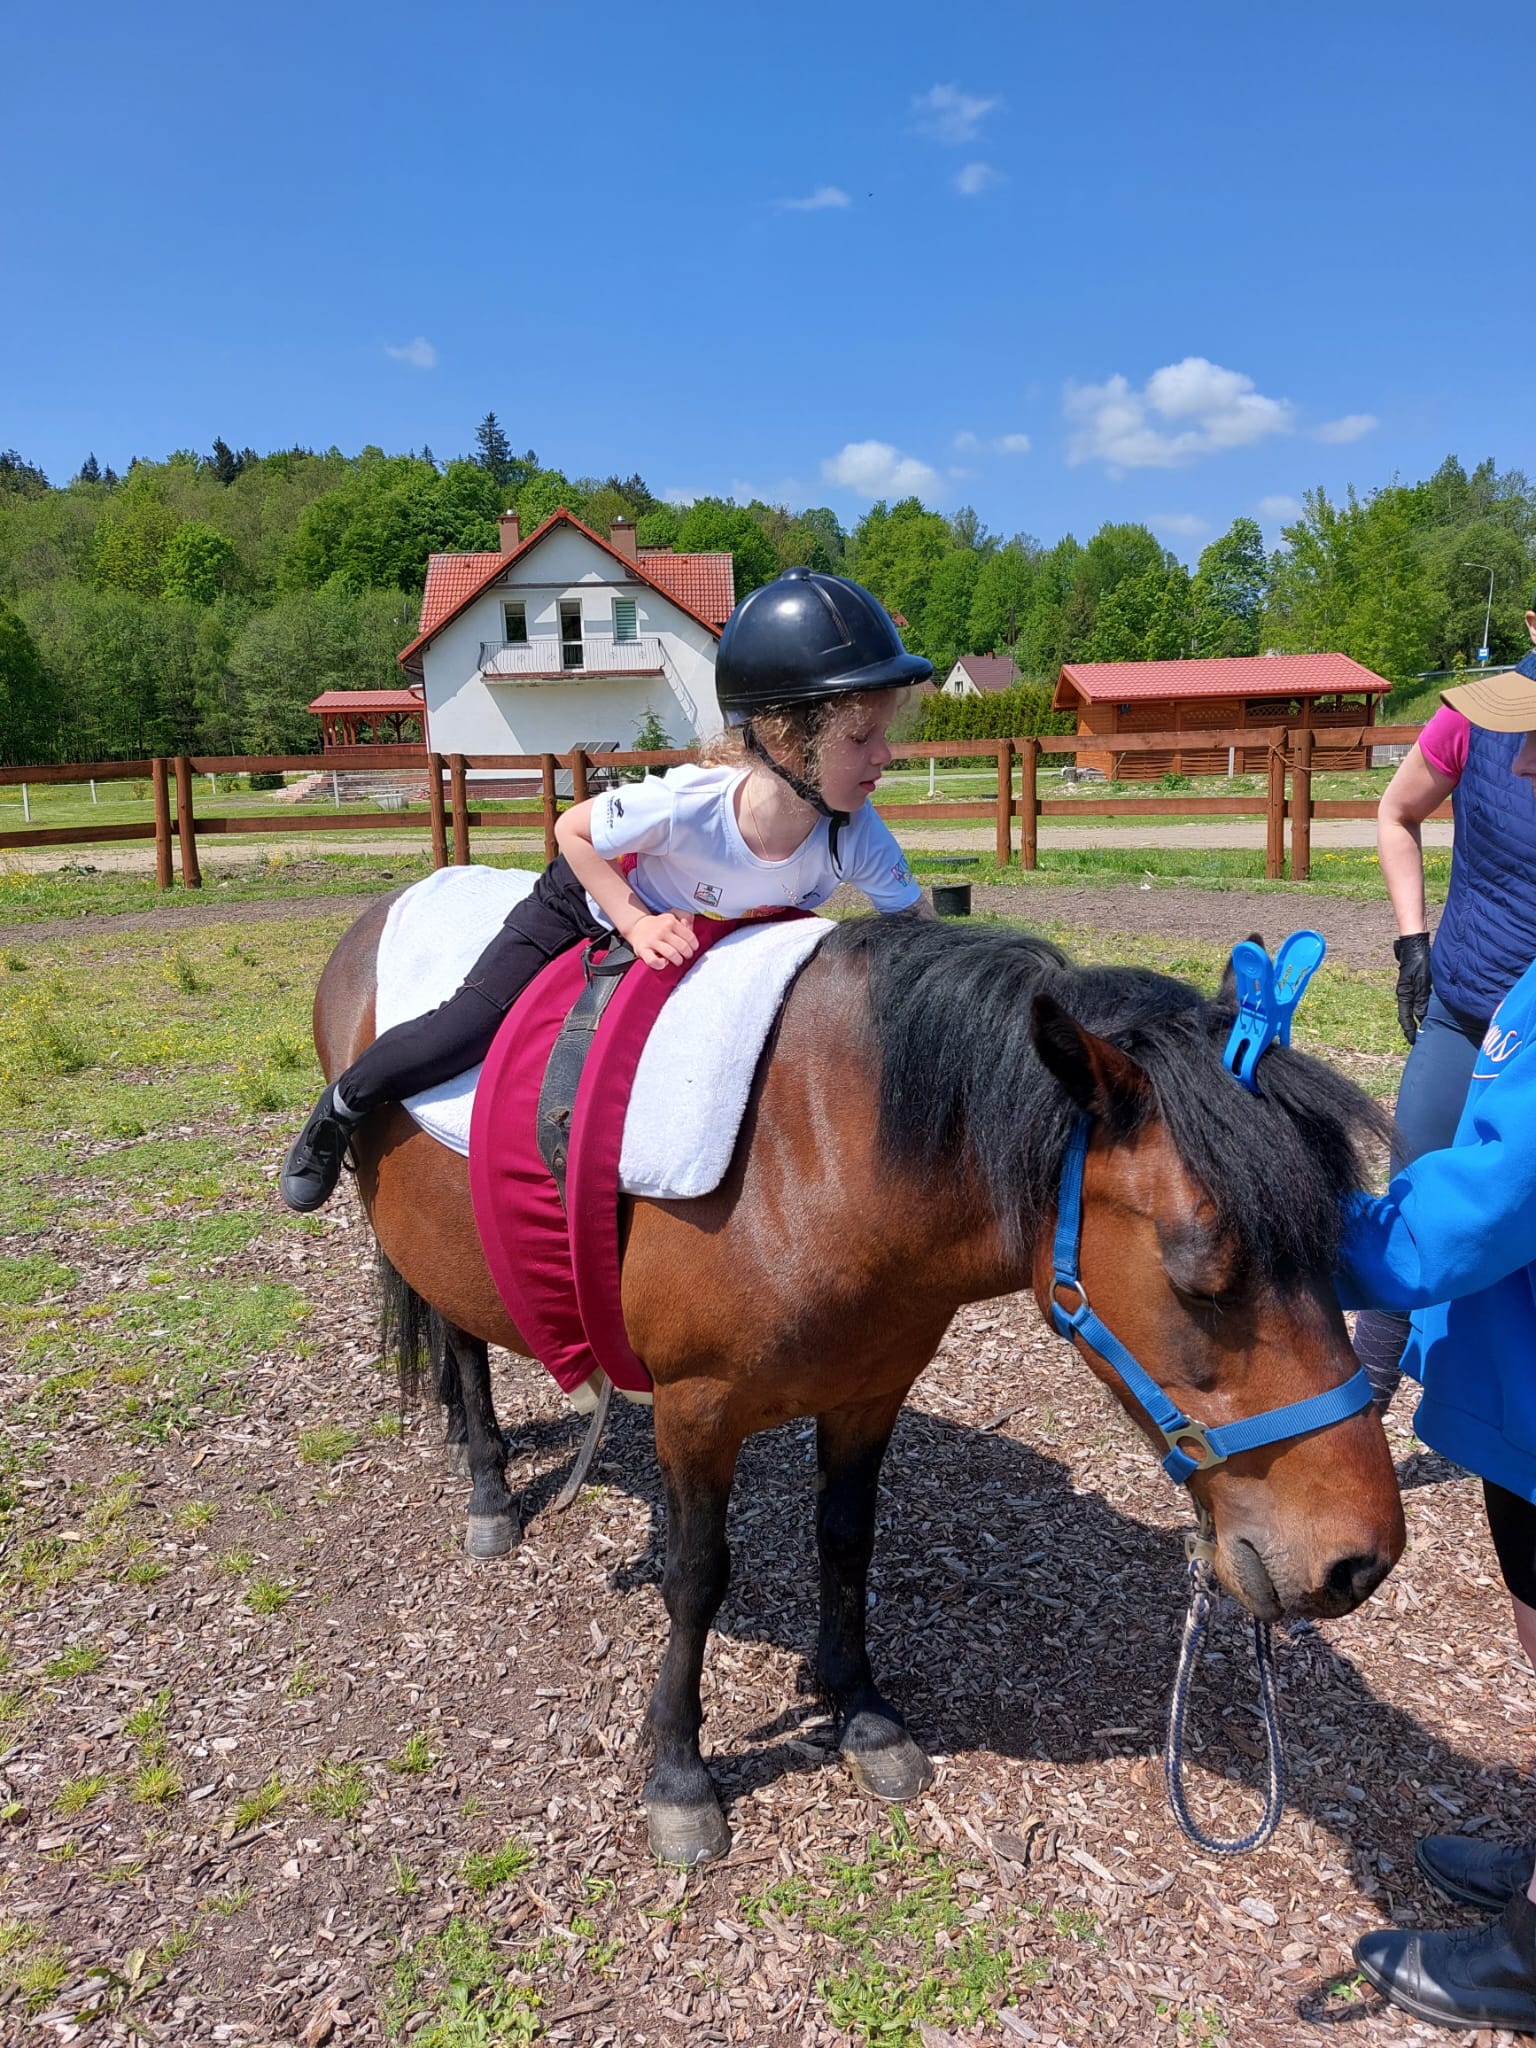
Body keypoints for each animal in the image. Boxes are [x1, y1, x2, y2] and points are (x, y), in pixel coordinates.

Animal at [313, 901, 1406, 1865]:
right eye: (1199, 1274)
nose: (1359, 1560)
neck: (812, 1154)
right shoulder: (694, 1409)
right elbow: (695, 1577)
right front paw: (679, 1774)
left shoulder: (867, 1392)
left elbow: (846, 1544)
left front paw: (862, 1712)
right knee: (460, 1346)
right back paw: (489, 1485)